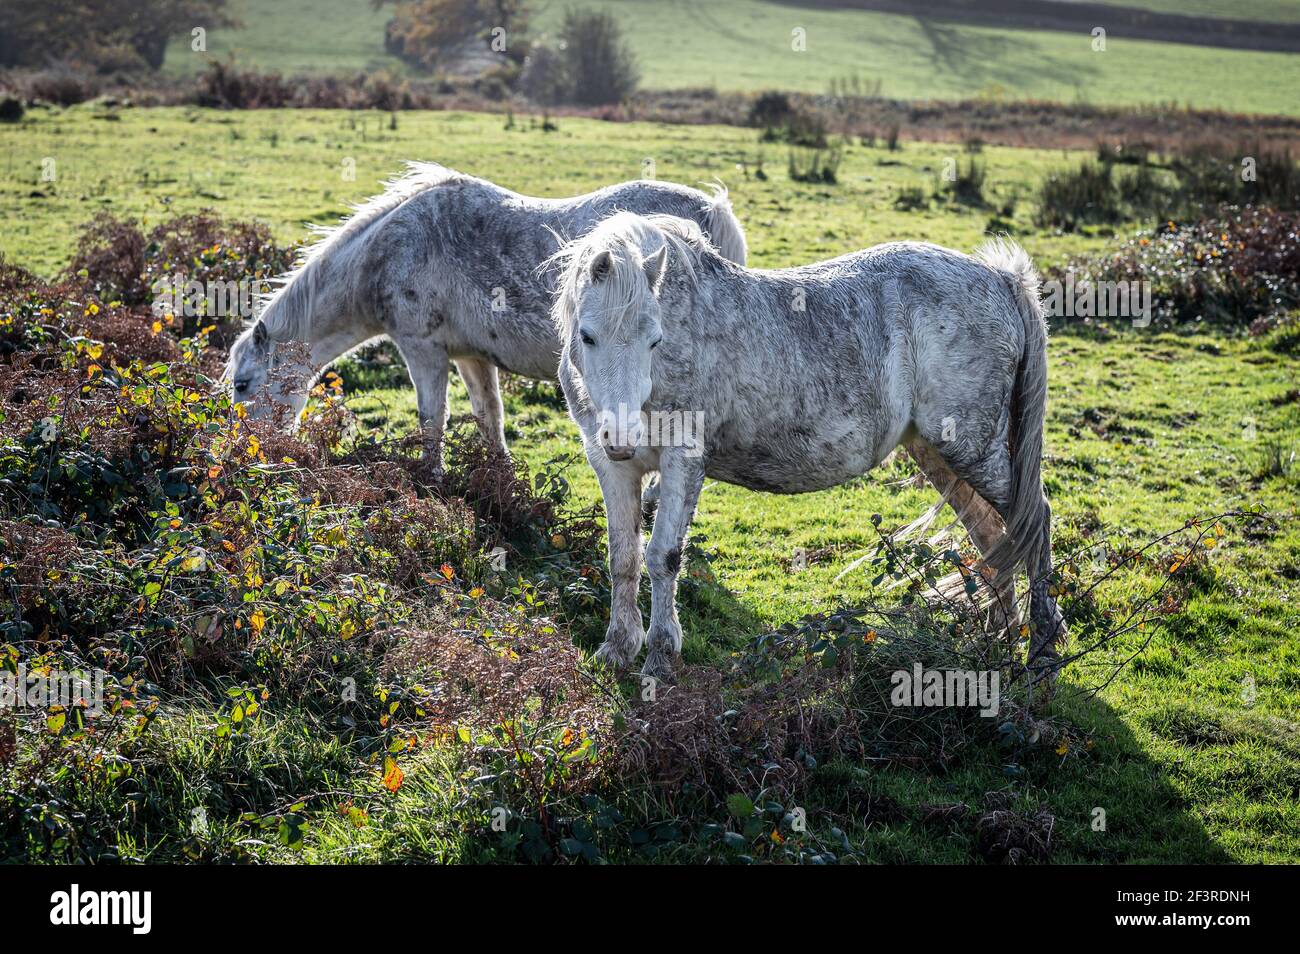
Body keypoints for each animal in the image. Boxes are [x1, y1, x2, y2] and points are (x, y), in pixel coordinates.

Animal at [224, 163, 748, 481]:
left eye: (242, 385)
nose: (247, 452)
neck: (387, 250)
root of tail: (710, 213)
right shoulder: (472, 356)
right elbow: (489, 418)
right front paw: (502, 483)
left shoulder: (423, 350)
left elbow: (431, 419)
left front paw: (431, 480)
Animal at [551, 212, 1066, 686]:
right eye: (587, 335)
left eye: (655, 339)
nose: (622, 437)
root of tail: (1002, 280)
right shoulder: (612, 466)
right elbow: (623, 558)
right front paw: (618, 649)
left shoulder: (682, 460)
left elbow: (663, 557)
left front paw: (659, 658)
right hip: (939, 454)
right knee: (991, 533)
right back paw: (999, 635)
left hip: (973, 450)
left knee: (1034, 520)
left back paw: (1040, 650)